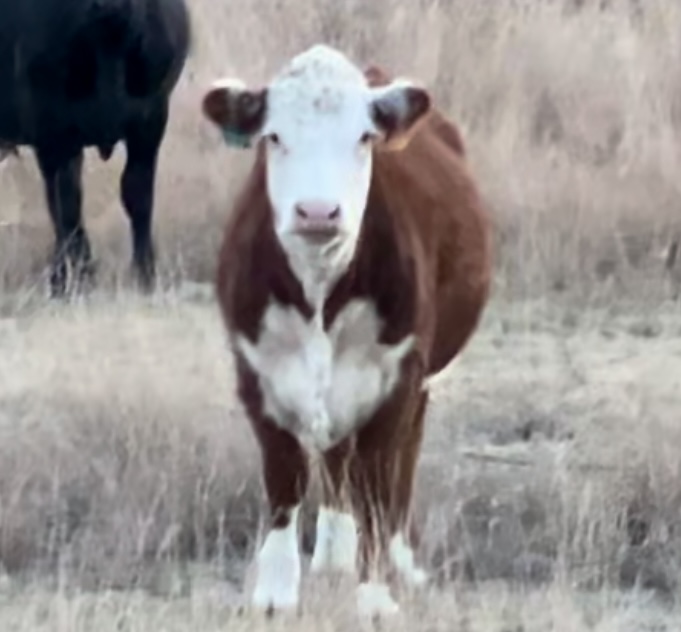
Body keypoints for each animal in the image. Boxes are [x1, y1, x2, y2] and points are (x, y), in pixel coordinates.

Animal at [0, 0, 191, 296]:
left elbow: (138, 195)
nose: (107, 4)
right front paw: (71, 278)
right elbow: (66, 203)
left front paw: (145, 275)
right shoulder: (52, 131)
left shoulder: (151, 121)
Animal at [199, 45, 492, 624]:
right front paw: (275, 593)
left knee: (397, 465)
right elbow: (285, 480)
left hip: (420, 383)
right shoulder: (256, 375)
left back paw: (399, 562)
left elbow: (376, 485)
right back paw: (333, 555)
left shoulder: (397, 379)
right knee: (336, 461)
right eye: (273, 136)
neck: (319, 293)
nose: (317, 211)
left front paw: (375, 596)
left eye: (363, 137)